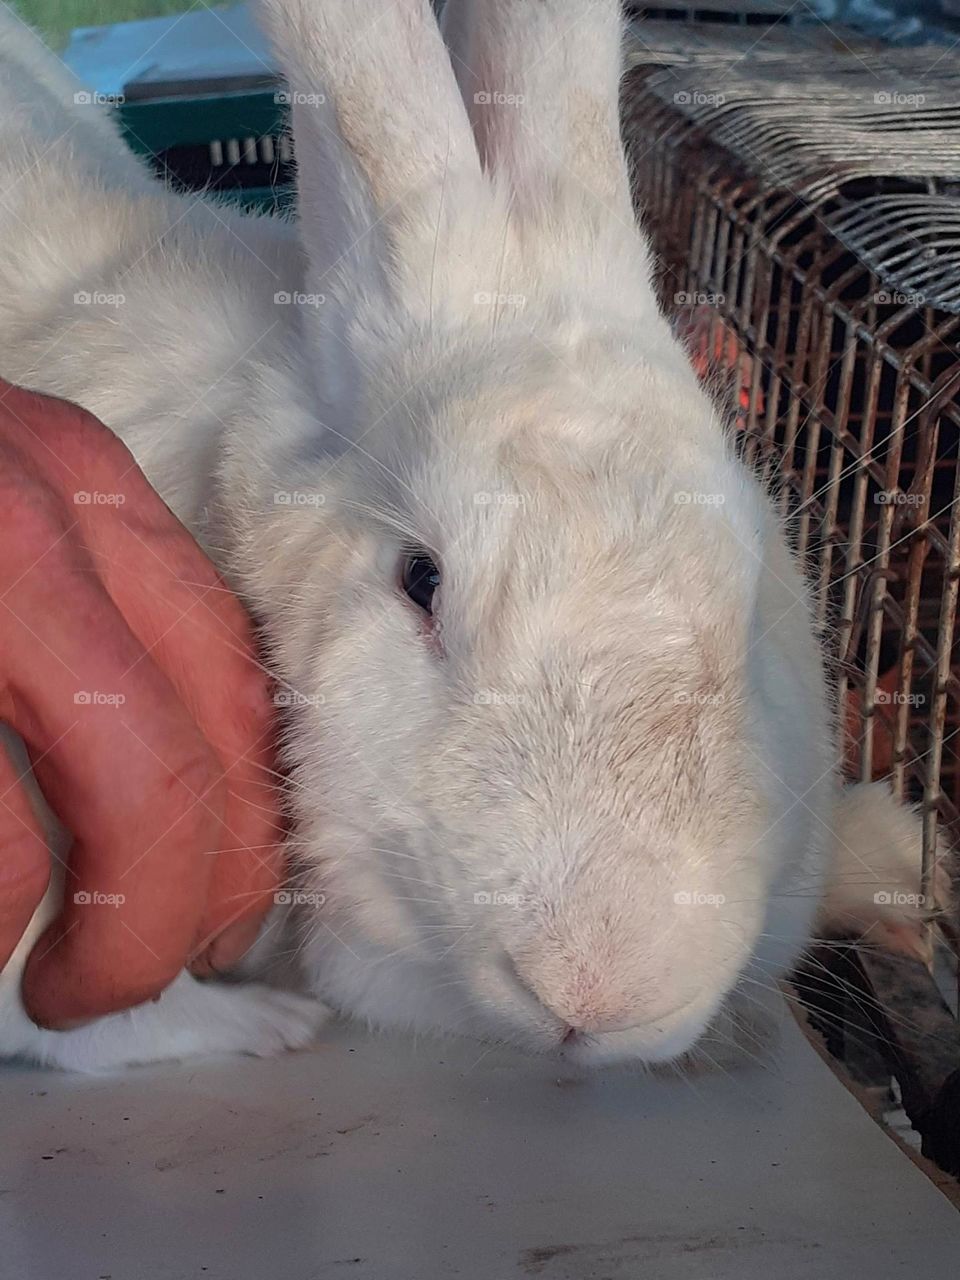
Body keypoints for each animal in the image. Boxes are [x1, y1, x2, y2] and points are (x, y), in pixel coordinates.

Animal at [0, 0, 941, 1074]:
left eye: (749, 615)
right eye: (421, 580)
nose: (598, 992)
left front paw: (898, 859)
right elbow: (67, 1020)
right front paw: (264, 1022)